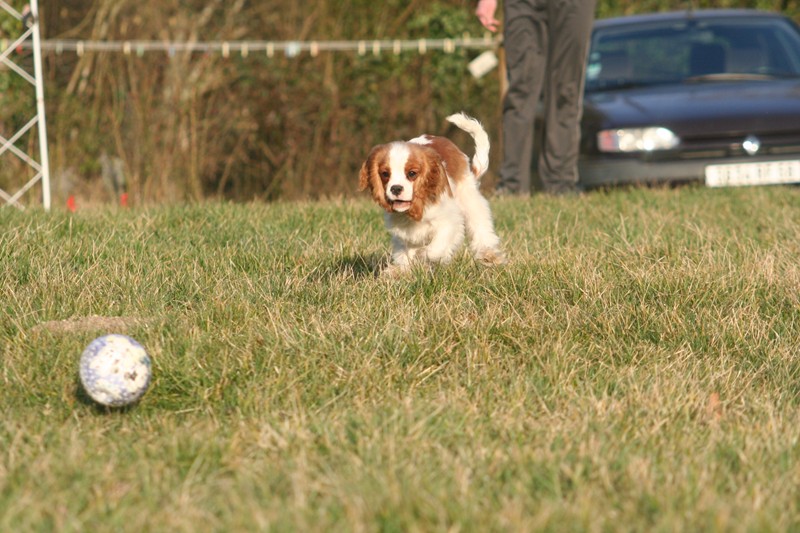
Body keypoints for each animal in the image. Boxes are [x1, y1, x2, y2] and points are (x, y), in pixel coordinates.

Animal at [359, 112, 505, 275]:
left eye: (412, 173)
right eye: (385, 174)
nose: (396, 188)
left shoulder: (449, 222)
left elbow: (434, 250)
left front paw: (423, 258)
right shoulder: (403, 234)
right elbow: (404, 255)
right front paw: (399, 272)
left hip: (469, 198)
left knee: (480, 226)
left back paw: (488, 255)